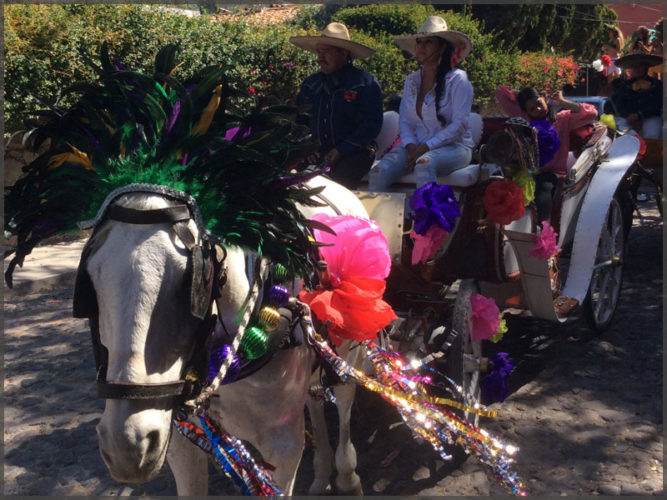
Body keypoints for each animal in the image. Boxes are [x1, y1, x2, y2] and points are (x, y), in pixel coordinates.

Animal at [81, 177, 368, 496]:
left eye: (191, 282)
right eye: (90, 277)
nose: (128, 445)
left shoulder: (284, 446)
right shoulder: (180, 441)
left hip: (349, 356)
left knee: (343, 405)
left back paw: (347, 476)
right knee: (315, 402)